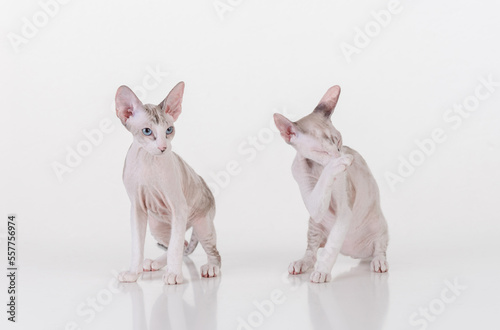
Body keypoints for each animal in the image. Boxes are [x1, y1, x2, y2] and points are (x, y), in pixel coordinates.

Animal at [116, 82, 221, 284]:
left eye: (169, 130)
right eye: (147, 131)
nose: (163, 148)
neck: (148, 161)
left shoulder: (179, 206)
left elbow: (175, 247)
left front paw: (174, 274)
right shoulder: (137, 208)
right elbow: (137, 246)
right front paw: (133, 273)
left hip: (201, 223)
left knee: (210, 251)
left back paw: (211, 267)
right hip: (157, 226)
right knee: (183, 243)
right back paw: (155, 264)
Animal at [276, 85, 388, 284]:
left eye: (338, 142)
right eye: (321, 151)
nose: (338, 156)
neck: (318, 168)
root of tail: (355, 254)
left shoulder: (345, 211)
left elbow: (332, 246)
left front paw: (322, 272)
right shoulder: (312, 202)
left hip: (379, 225)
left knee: (380, 247)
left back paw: (379, 262)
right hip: (314, 224)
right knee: (311, 252)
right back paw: (301, 263)